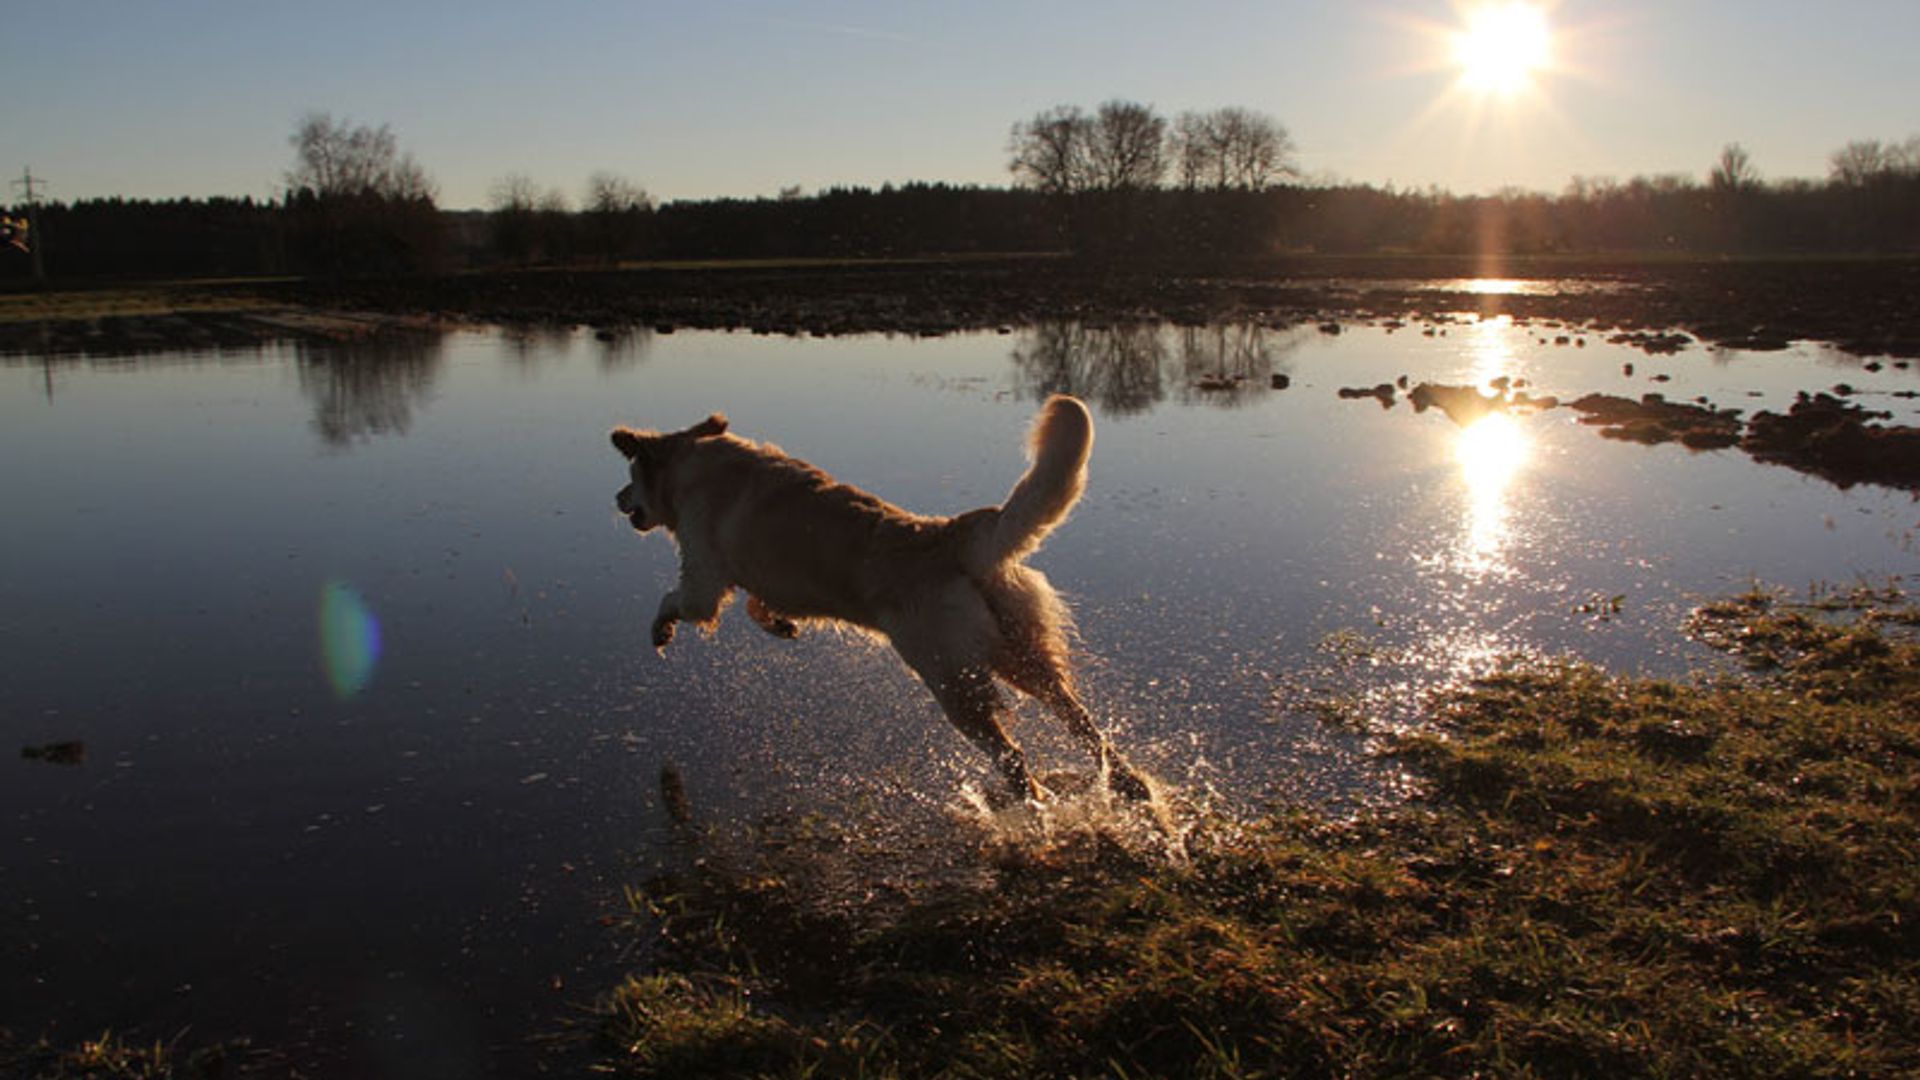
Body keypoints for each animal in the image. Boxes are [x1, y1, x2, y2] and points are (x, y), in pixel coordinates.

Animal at [606, 395, 1144, 799]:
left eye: (630, 478)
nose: (616, 499)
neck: (693, 465)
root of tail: (952, 535)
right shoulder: (772, 581)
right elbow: (760, 604)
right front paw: (780, 625)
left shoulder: (702, 580)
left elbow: (673, 600)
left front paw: (661, 630)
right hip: (1024, 657)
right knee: (1085, 727)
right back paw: (1134, 790)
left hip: (954, 683)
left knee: (1013, 758)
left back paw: (1034, 810)